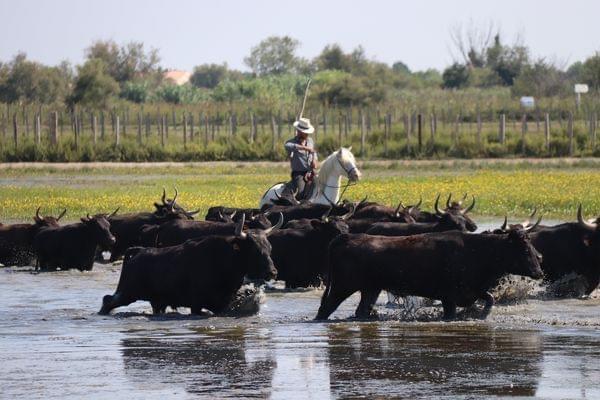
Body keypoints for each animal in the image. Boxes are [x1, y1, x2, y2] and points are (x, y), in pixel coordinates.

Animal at [316, 230, 548, 320]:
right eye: (524, 248)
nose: (539, 267)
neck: (476, 251)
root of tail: (346, 236)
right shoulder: (449, 297)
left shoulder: (472, 290)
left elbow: (490, 298)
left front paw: (481, 314)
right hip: (342, 287)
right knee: (325, 309)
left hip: (370, 288)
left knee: (362, 309)